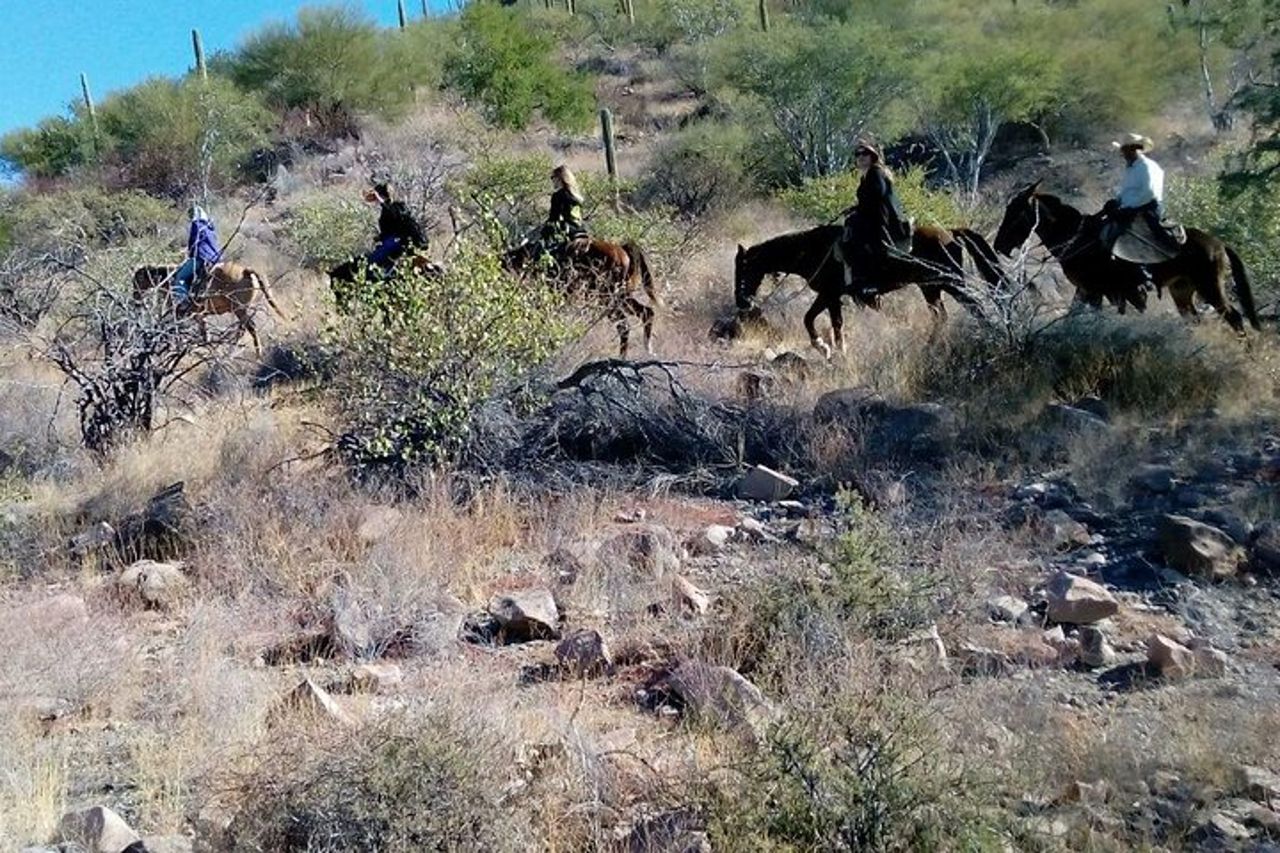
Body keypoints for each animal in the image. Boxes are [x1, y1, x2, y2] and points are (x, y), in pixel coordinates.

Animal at [132, 262, 286, 353]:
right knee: (243, 328)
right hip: (241, 310)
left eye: (136, 281)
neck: (168, 278)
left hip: (239, 309)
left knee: (250, 328)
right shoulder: (199, 315)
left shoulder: (178, 313)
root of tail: (245, 271)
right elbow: (204, 335)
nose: (135, 299)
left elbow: (175, 331)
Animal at [502, 237, 660, 357]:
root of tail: (622, 250)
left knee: (624, 326)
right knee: (647, 312)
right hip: (621, 298)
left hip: (608, 299)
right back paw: (646, 350)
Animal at [733, 223, 1005, 357]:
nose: (742, 302)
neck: (811, 249)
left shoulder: (828, 294)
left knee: (974, 308)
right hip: (932, 288)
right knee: (942, 316)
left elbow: (809, 318)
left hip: (950, 283)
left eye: (743, 270)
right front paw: (837, 349)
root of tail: (950, 233)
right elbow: (835, 323)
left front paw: (823, 346)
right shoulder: (833, 297)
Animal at [993, 182, 1259, 332]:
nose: (998, 245)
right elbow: (1073, 315)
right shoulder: (1087, 290)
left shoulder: (1099, 291)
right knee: (1194, 317)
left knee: (1234, 317)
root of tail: (1219, 244)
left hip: (1210, 287)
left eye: (1015, 213)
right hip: (1182, 290)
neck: (1079, 238)